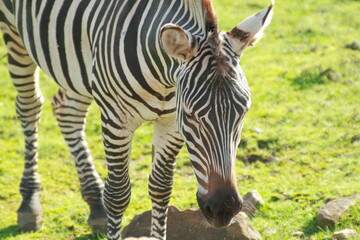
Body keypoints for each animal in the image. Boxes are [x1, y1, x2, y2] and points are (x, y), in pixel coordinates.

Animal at [0, 0, 272, 239]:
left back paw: (95, 205)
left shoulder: (171, 123)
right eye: (191, 115)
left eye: (243, 113)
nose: (223, 209)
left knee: (66, 109)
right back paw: (29, 203)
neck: (163, 77)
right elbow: (117, 195)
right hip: (13, 31)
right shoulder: (116, 119)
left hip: (77, 63)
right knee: (29, 106)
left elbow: (161, 188)